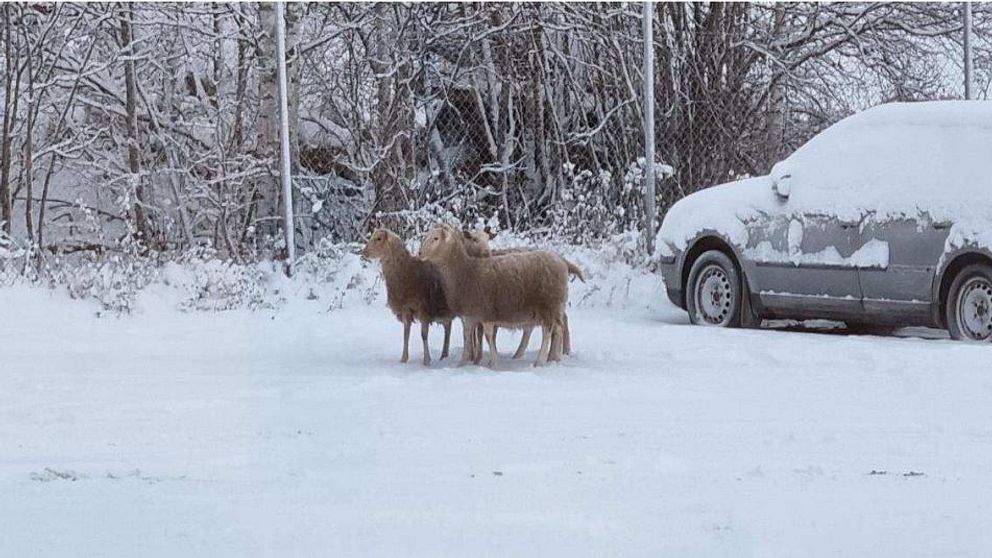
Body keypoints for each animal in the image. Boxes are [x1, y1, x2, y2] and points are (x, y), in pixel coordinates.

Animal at [360, 229, 454, 368]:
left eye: (378, 238)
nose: (364, 252)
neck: (406, 271)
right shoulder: (405, 310)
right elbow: (406, 335)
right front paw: (403, 359)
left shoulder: (424, 309)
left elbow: (423, 335)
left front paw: (426, 360)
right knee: (448, 328)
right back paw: (444, 355)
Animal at [418, 225, 564, 370]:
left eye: (435, 238)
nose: (419, 253)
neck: (466, 270)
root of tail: (560, 261)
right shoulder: (470, 313)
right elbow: (467, 336)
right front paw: (462, 363)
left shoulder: (486, 311)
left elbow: (488, 336)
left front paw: (493, 363)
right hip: (553, 307)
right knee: (558, 329)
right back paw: (555, 358)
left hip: (547, 305)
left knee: (547, 332)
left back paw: (540, 361)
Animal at [462, 230, 584, 360]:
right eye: (474, 239)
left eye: (488, 239)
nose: (487, 253)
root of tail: (562, 259)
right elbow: (474, 333)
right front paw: (473, 356)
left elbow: (480, 333)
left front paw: (476, 357)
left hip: (551, 303)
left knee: (556, 325)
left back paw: (554, 355)